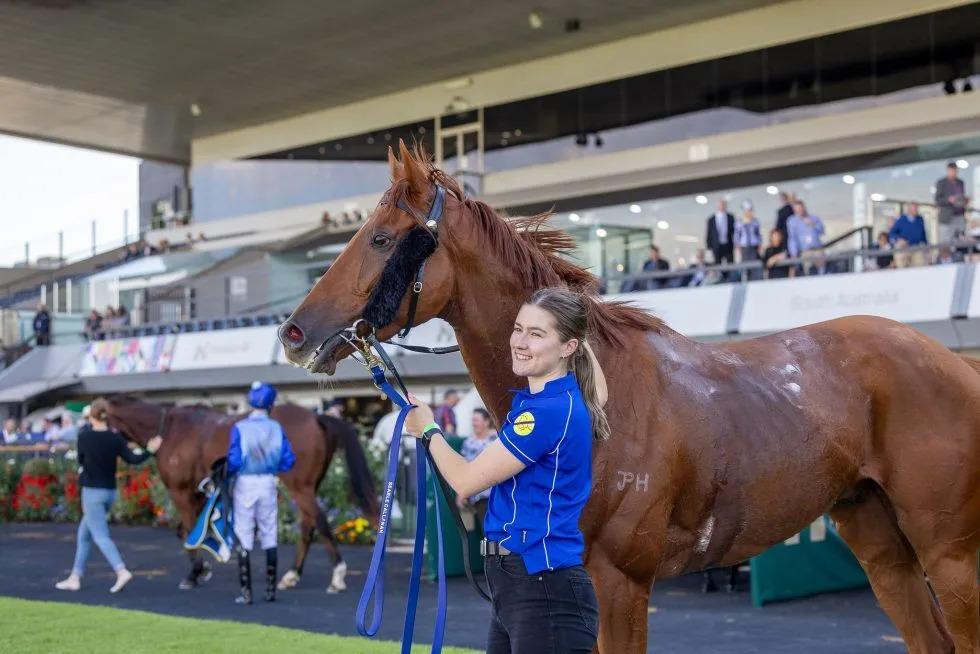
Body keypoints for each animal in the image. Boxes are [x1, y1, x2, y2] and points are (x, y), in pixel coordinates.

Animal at [107, 396, 379, 594]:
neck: (170, 430)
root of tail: (316, 417)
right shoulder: (198, 493)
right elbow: (189, 531)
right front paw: (203, 569)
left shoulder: (180, 491)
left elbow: (187, 531)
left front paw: (194, 574)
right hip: (310, 485)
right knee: (308, 524)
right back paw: (291, 575)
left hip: (299, 486)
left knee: (319, 522)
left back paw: (337, 576)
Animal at [277, 142, 980, 653]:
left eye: (381, 238)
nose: (293, 332)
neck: (603, 396)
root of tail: (954, 362)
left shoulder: (620, 583)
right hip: (878, 537)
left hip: (949, 555)